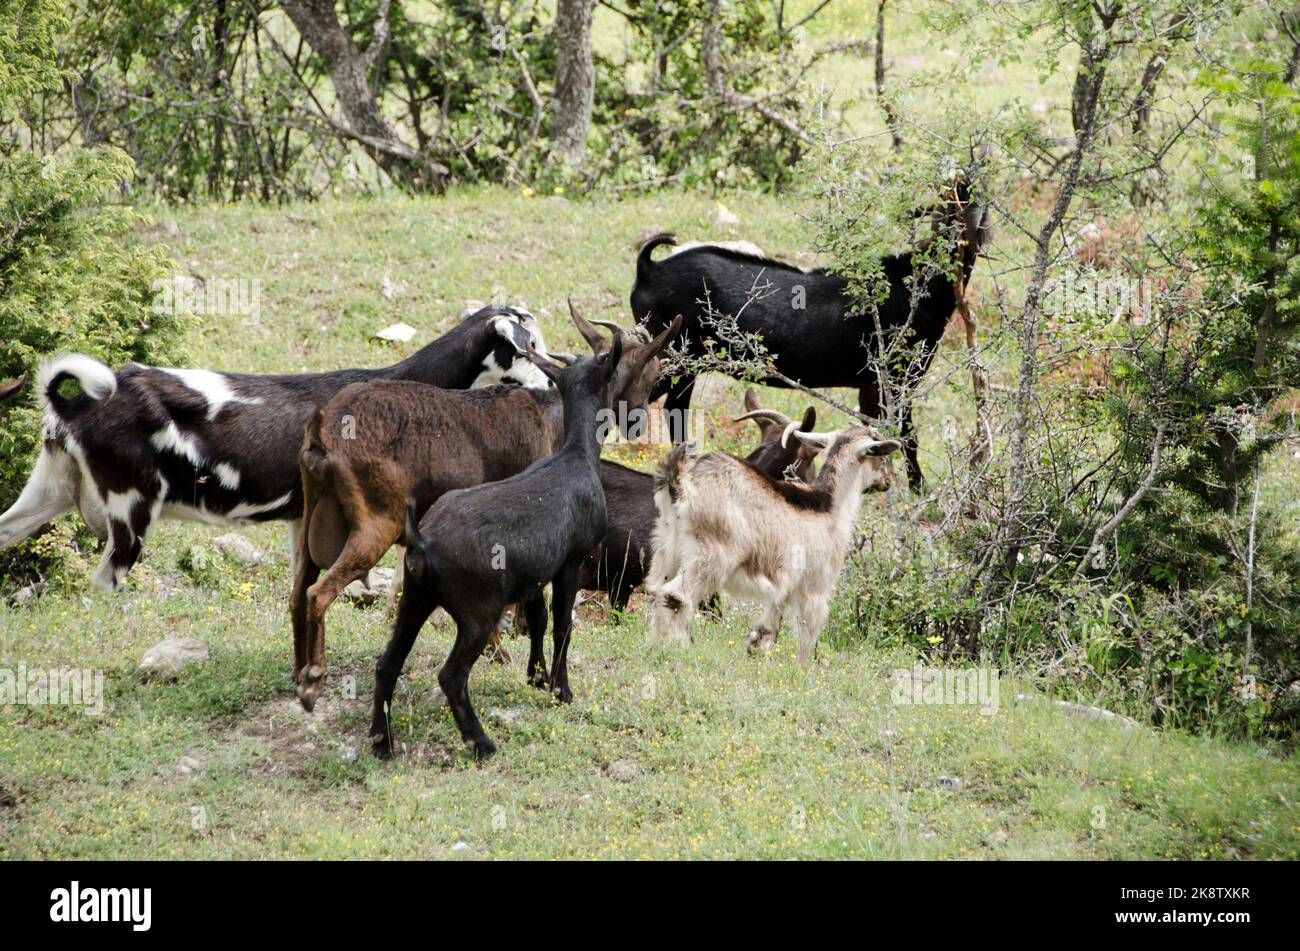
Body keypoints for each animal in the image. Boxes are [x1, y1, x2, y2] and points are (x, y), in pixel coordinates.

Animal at [0, 304, 551, 589]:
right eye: (526, 347)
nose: (552, 379)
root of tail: (73, 406)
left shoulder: (301, 516)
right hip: (130, 506)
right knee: (105, 584)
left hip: (51, 486)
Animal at [371, 337, 624, 763]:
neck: (575, 456)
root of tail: (424, 543)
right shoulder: (570, 563)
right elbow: (562, 624)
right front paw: (561, 690)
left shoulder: (533, 578)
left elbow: (538, 621)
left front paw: (536, 677)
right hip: (477, 614)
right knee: (451, 675)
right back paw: (481, 743)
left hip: (416, 599)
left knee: (387, 663)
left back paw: (381, 742)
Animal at [634, 177, 987, 493]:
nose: (971, 235)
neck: (916, 286)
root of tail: (649, 270)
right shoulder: (891, 381)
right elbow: (905, 435)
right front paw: (919, 490)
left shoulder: (871, 388)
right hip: (671, 356)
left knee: (675, 408)